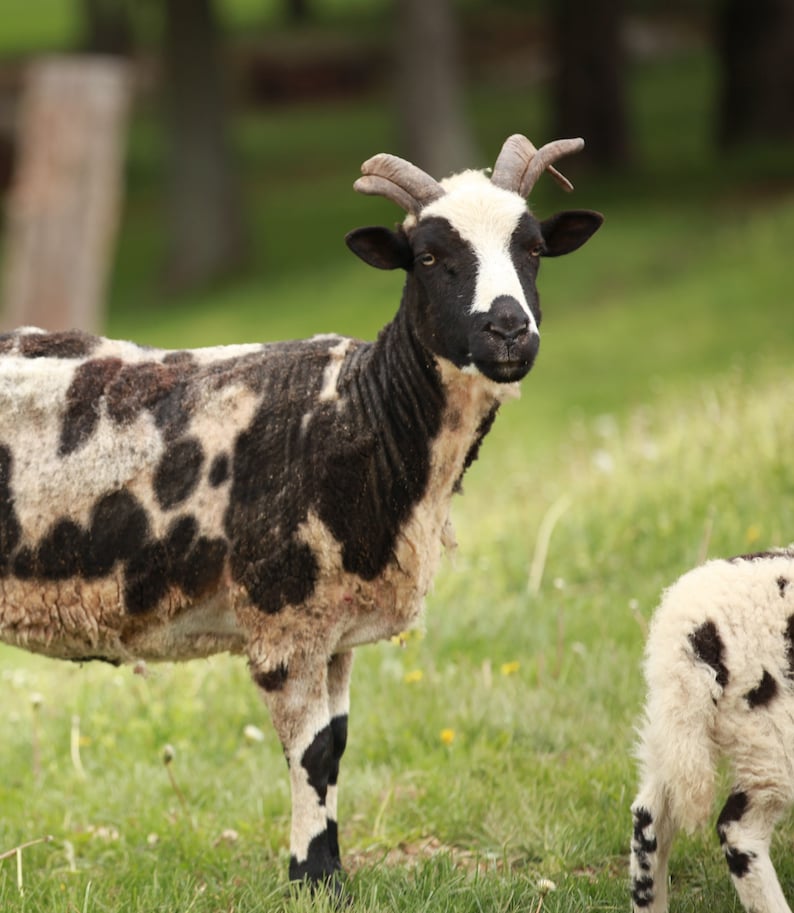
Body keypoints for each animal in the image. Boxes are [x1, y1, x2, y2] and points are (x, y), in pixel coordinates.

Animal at [0, 134, 602, 894]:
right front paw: (313, 876)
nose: (508, 329)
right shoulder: (284, 619)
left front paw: (332, 872)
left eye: (534, 249)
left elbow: (338, 744)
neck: (360, 413)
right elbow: (311, 754)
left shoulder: (336, 625)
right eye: (428, 257)